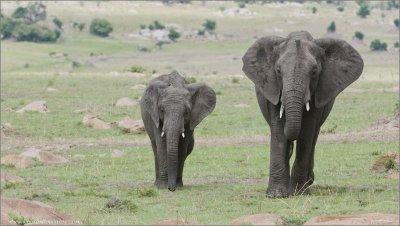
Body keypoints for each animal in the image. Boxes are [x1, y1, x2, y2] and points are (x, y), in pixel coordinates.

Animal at [242, 30, 364, 198]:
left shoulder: (318, 89)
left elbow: (306, 132)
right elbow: (279, 130)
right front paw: (276, 195)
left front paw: (298, 192)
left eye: (314, 72)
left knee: (314, 136)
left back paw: (307, 182)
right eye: (278, 71)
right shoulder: (273, 88)